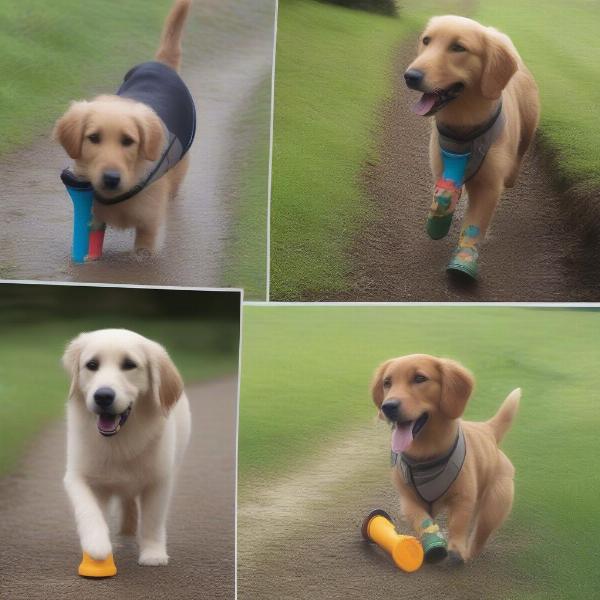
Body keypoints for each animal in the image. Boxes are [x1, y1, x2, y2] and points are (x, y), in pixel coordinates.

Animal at [53, 0, 195, 253]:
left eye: (128, 141)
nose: (111, 178)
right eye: (94, 138)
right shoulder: (93, 217)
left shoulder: (149, 226)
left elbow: (144, 246)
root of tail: (161, 65)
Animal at [63, 328, 190, 568]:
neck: (119, 440)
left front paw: (153, 554)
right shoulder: (77, 475)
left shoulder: (159, 480)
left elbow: (152, 520)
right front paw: (97, 545)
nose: (103, 396)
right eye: (92, 365)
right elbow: (88, 510)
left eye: (129, 365)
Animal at [370, 352, 520, 564]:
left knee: (480, 534)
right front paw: (431, 545)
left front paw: (456, 548)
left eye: (419, 378)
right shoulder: (408, 500)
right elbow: (422, 519)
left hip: (494, 505)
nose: (388, 406)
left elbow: (458, 524)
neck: (425, 457)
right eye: (387, 383)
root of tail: (488, 429)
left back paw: (469, 551)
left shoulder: (463, 499)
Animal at [406, 15, 540, 278]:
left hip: (528, 129)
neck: (464, 128)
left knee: (520, 153)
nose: (410, 76)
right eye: (426, 41)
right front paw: (437, 224)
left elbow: (475, 224)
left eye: (458, 47)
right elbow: (445, 193)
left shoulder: (489, 184)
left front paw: (463, 263)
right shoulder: (442, 163)